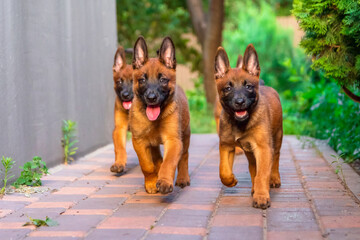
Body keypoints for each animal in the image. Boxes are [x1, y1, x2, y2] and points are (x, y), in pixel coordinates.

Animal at [130, 36, 191, 195]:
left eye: (163, 80)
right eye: (142, 80)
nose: (151, 98)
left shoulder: (173, 140)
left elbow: (169, 162)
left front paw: (164, 181)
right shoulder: (139, 142)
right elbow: (147, 165)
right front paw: (151, 182)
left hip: (185, 135)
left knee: (184, 157)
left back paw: (183, 178)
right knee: (157, 158)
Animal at [214, 44, 282, 209]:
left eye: (248, 87)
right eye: (228, 88)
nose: (239, 102)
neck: (241, 123)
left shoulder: (263, 149)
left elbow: (262, 174)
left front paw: (262, 196)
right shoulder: (226, 146)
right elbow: (223, 170)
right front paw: (230, 180)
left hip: (277, 139)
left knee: (275, 160)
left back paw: (274, 179)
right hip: (250, 153)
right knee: (253, 168)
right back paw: (253, 188)